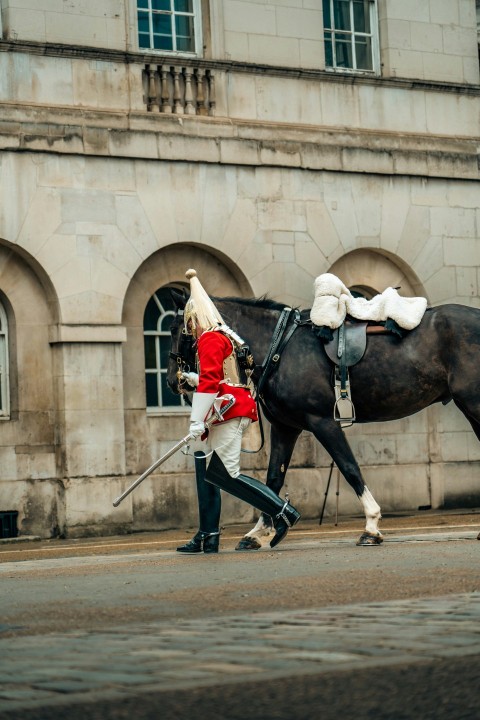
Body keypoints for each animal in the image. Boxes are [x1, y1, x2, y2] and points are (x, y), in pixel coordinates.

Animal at [167, 290, 480, 549]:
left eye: (176, 329)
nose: (174, 381)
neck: (280, 344)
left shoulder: (323, 422)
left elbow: (350, 468)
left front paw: (371, 526)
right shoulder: (285, 427)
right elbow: (273, 478)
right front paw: (258, 532)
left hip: (473, 403)